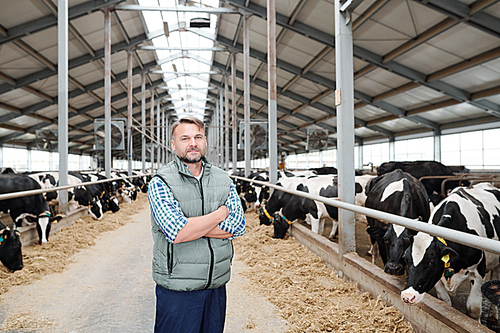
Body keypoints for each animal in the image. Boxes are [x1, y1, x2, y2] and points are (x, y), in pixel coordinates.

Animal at [400, 182, 500, 320]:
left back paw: (493, 314)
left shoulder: (479, 273)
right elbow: (445, 301)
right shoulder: (438, 276)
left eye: (431, 262)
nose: (407, 296)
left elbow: (473, 309)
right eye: (406, 258)